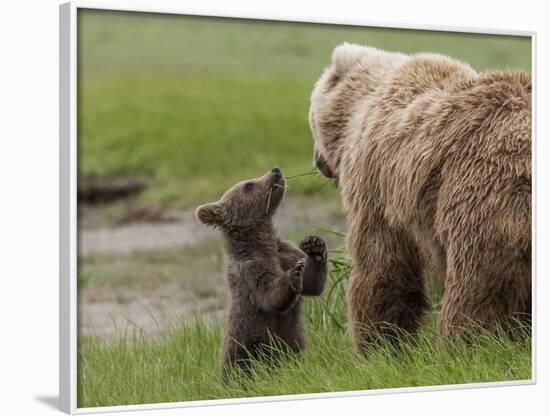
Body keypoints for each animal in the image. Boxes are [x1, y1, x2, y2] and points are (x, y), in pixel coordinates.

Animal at [308, 44, 532, 352]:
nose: (317, 161)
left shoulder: (375, 180)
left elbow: (382, 261)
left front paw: (380, 343)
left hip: (483, 193)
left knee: (478, 286)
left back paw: (465, 344)